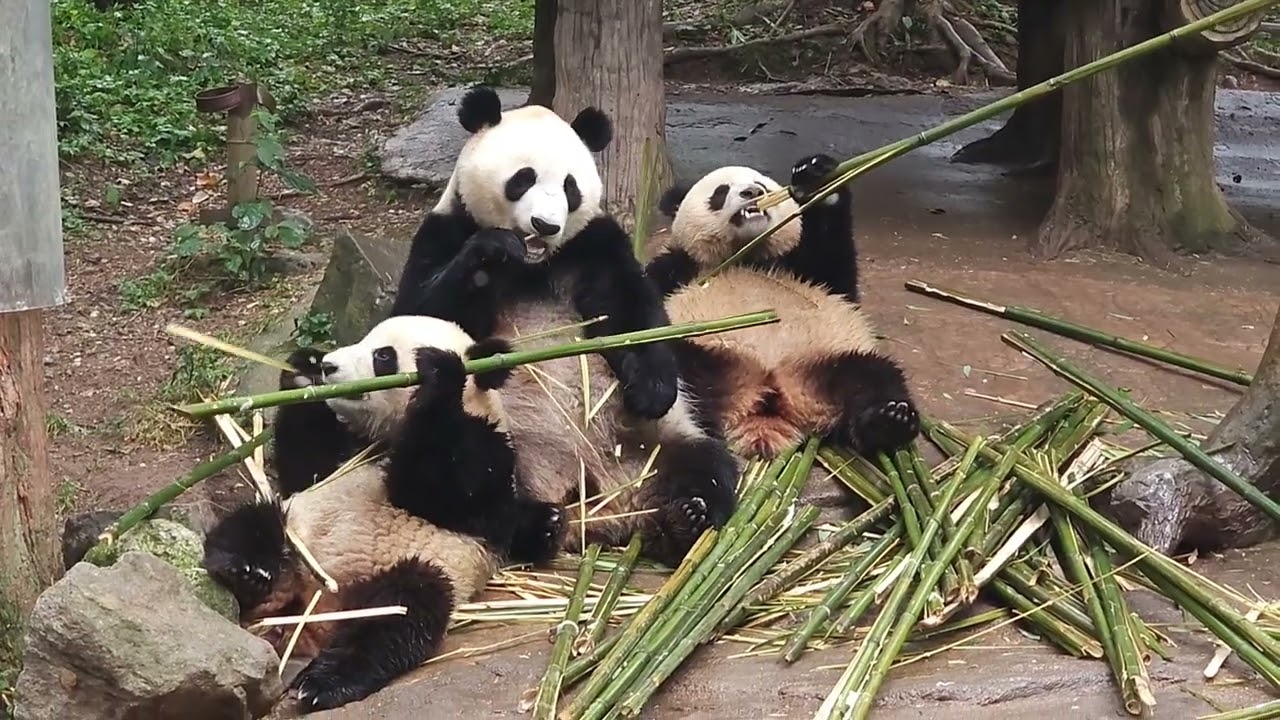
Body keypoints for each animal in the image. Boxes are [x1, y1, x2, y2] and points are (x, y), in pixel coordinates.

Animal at [202, 314, 567, 712]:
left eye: (383, 356)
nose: (329, 365)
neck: (387, 433)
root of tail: (312, 618)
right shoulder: (344, 454)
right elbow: (306, 466)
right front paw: (303, 371)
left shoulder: (489, 457)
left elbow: (446, 492)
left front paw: (439, 374)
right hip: (296, 536)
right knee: (256, 523)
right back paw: (248, 571)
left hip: (417, 567)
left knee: (397, 615)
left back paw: (323, 682)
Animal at [387, 85, 740, 568]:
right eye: (522, 179)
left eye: (570, 188)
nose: (545, 225)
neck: (536, 265)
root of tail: (606, 511)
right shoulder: (443, 230)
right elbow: (420, 311)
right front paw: (492, 250)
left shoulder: (593, 243)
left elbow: (634, 313)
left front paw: (651, 389)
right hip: (499, 439)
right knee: (455, 476)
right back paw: (538, 525)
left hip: (663, 438)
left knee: (709, 464)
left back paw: (687, 517)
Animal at [642, 154, 921, 460]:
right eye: (721, 191)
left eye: (761, 184)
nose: (752, 192)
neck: (746, 255)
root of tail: (771, 397)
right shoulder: (678, 269)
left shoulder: (805, 271)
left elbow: (836, 273)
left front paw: (816, 177)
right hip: (706, 353)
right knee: (681, 371)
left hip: (827, 359)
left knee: (875, 377)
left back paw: (889, 420)